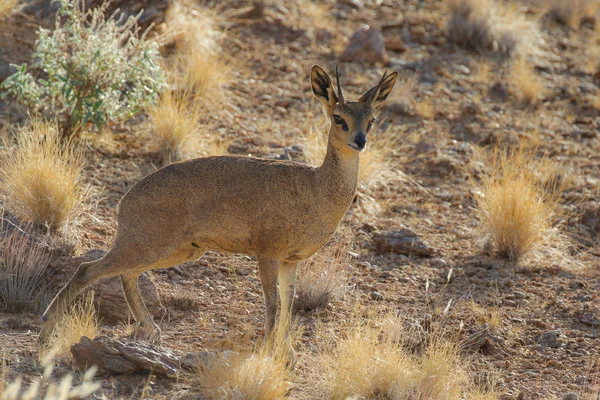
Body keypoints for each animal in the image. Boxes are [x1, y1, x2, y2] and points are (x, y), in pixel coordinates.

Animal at [41, 65, 398, 350]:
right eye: (338, 118)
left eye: (372, 120)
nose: (360, 141)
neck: (316, 189)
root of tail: (125, 201)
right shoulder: (267, 254)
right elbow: (272, 304)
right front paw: (267, 351)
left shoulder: (290, 261)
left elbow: (288, 304)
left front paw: (286, 352)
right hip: (149, 244)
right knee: (90, 270)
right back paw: (47, 329)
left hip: (179, 250)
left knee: (127, 275)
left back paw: (152, 332)